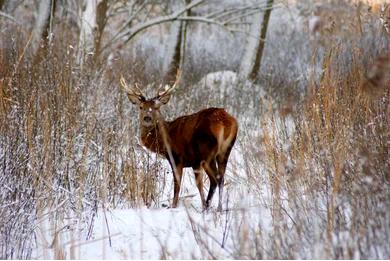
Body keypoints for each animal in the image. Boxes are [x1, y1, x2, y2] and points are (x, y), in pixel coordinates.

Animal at [120, 72, 238, 210]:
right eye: (141, 107)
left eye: (156, 107)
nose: (147, 118)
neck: (164, 140)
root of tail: (225, 121)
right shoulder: (194, 162)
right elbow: (198, 184)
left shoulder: (177, 158)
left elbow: (178, 184)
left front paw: (174, 205)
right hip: (225, 150)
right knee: (222, 178)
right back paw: (218, 207)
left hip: (207, 151)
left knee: (215, 179)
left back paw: (208, 207)